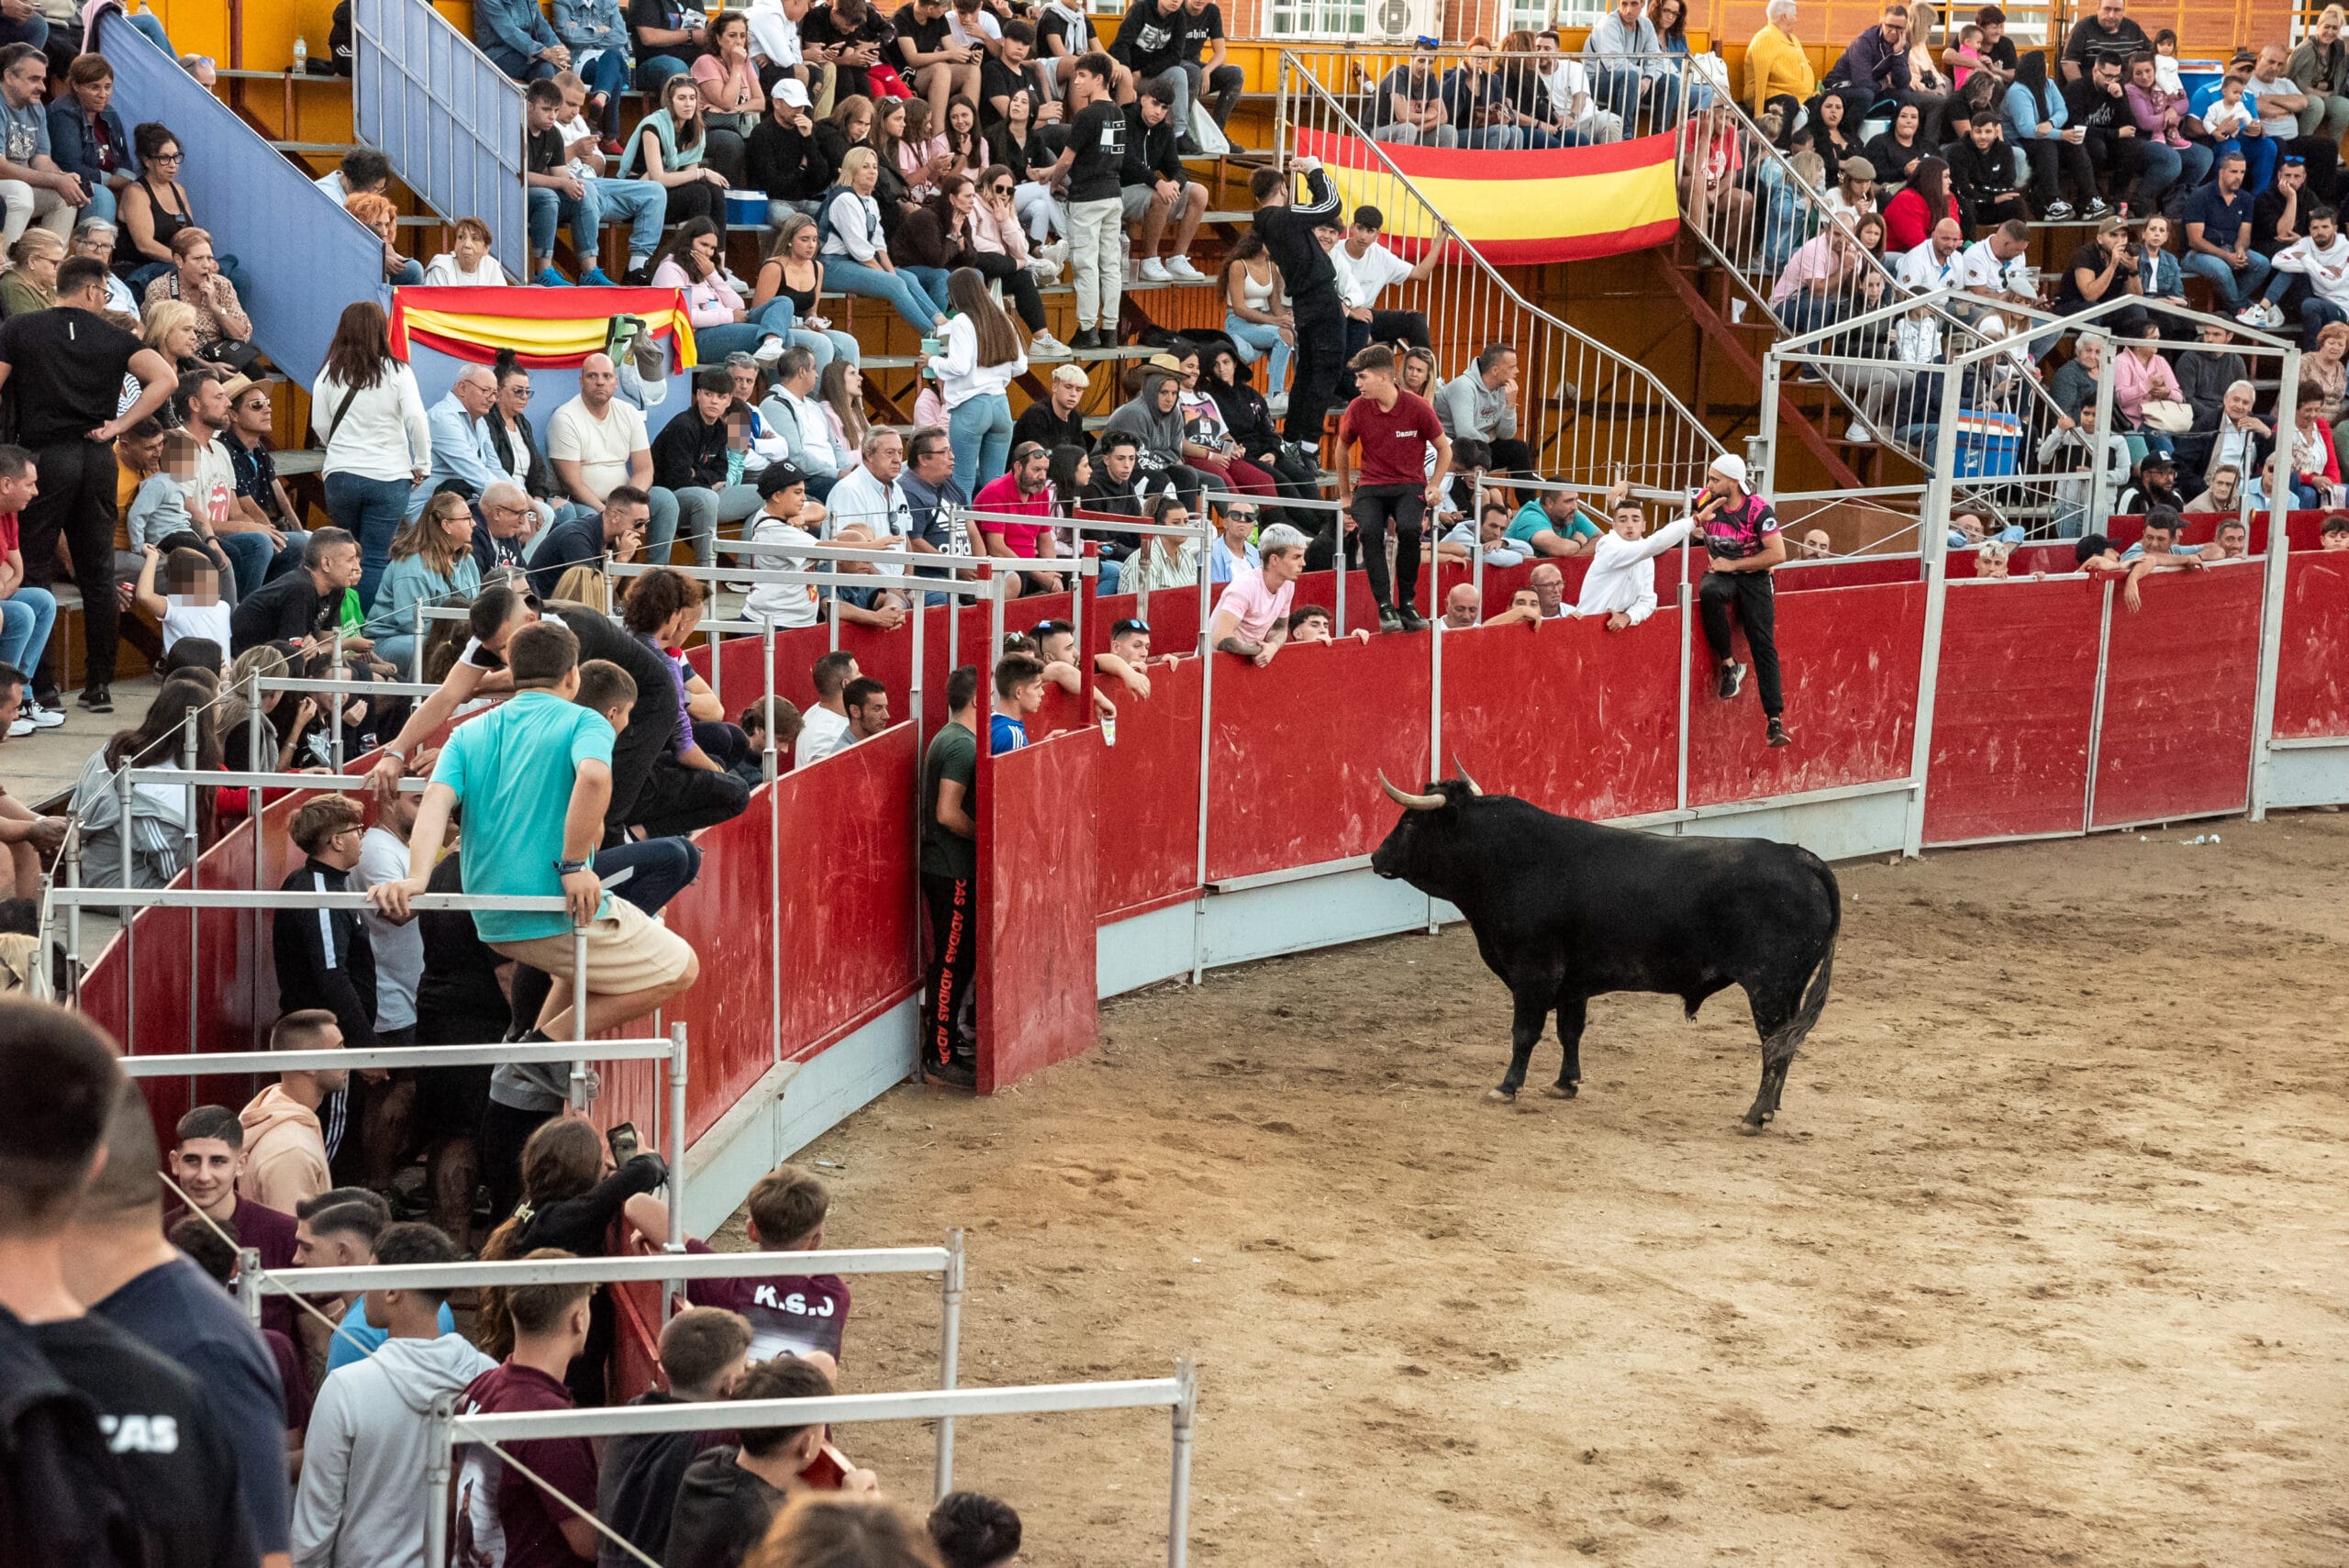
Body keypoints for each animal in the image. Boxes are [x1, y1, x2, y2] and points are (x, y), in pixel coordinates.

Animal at [1368, 771, 1841, 1129]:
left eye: (1409, 823)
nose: (1375, 857)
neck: (1508, 860)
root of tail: (1802, 859)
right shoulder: (1573, 981)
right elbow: (1570, 1031)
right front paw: (1565, 1084)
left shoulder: (1533, 972)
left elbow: (1525, 1032)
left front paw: (1506, 1087)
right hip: (1790, 988)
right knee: (1786, 1043)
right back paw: (1771, 1109)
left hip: (1769, 987)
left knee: (1774, 1044)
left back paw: (1754, 1115)